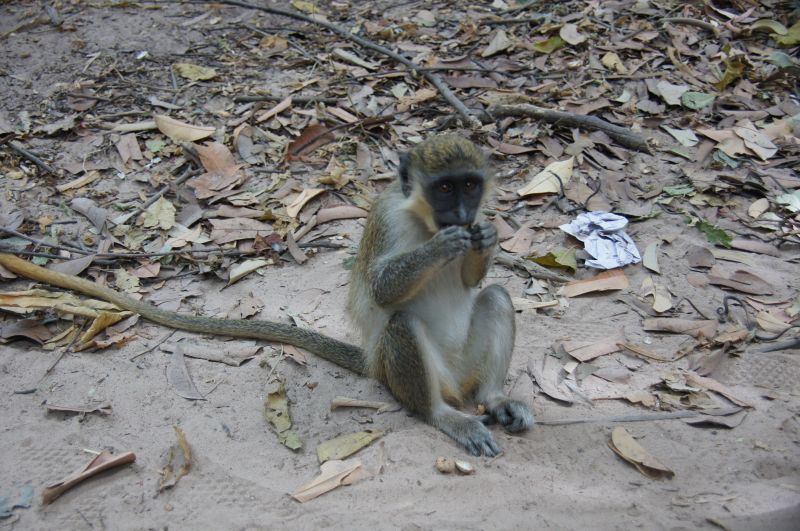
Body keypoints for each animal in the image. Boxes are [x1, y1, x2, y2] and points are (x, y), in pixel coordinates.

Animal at [0, 134, 532, 456]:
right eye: (443, 189)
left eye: (470, 185)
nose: (462, 214)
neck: (423, 220)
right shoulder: (387, 221)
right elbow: (382, 292)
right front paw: (445, 246)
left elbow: (474, 284)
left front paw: (487, 237)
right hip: (411, 374)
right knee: (406, 336)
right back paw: (445, 416)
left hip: (464, 370)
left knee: (496, 299)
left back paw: (495, 399)